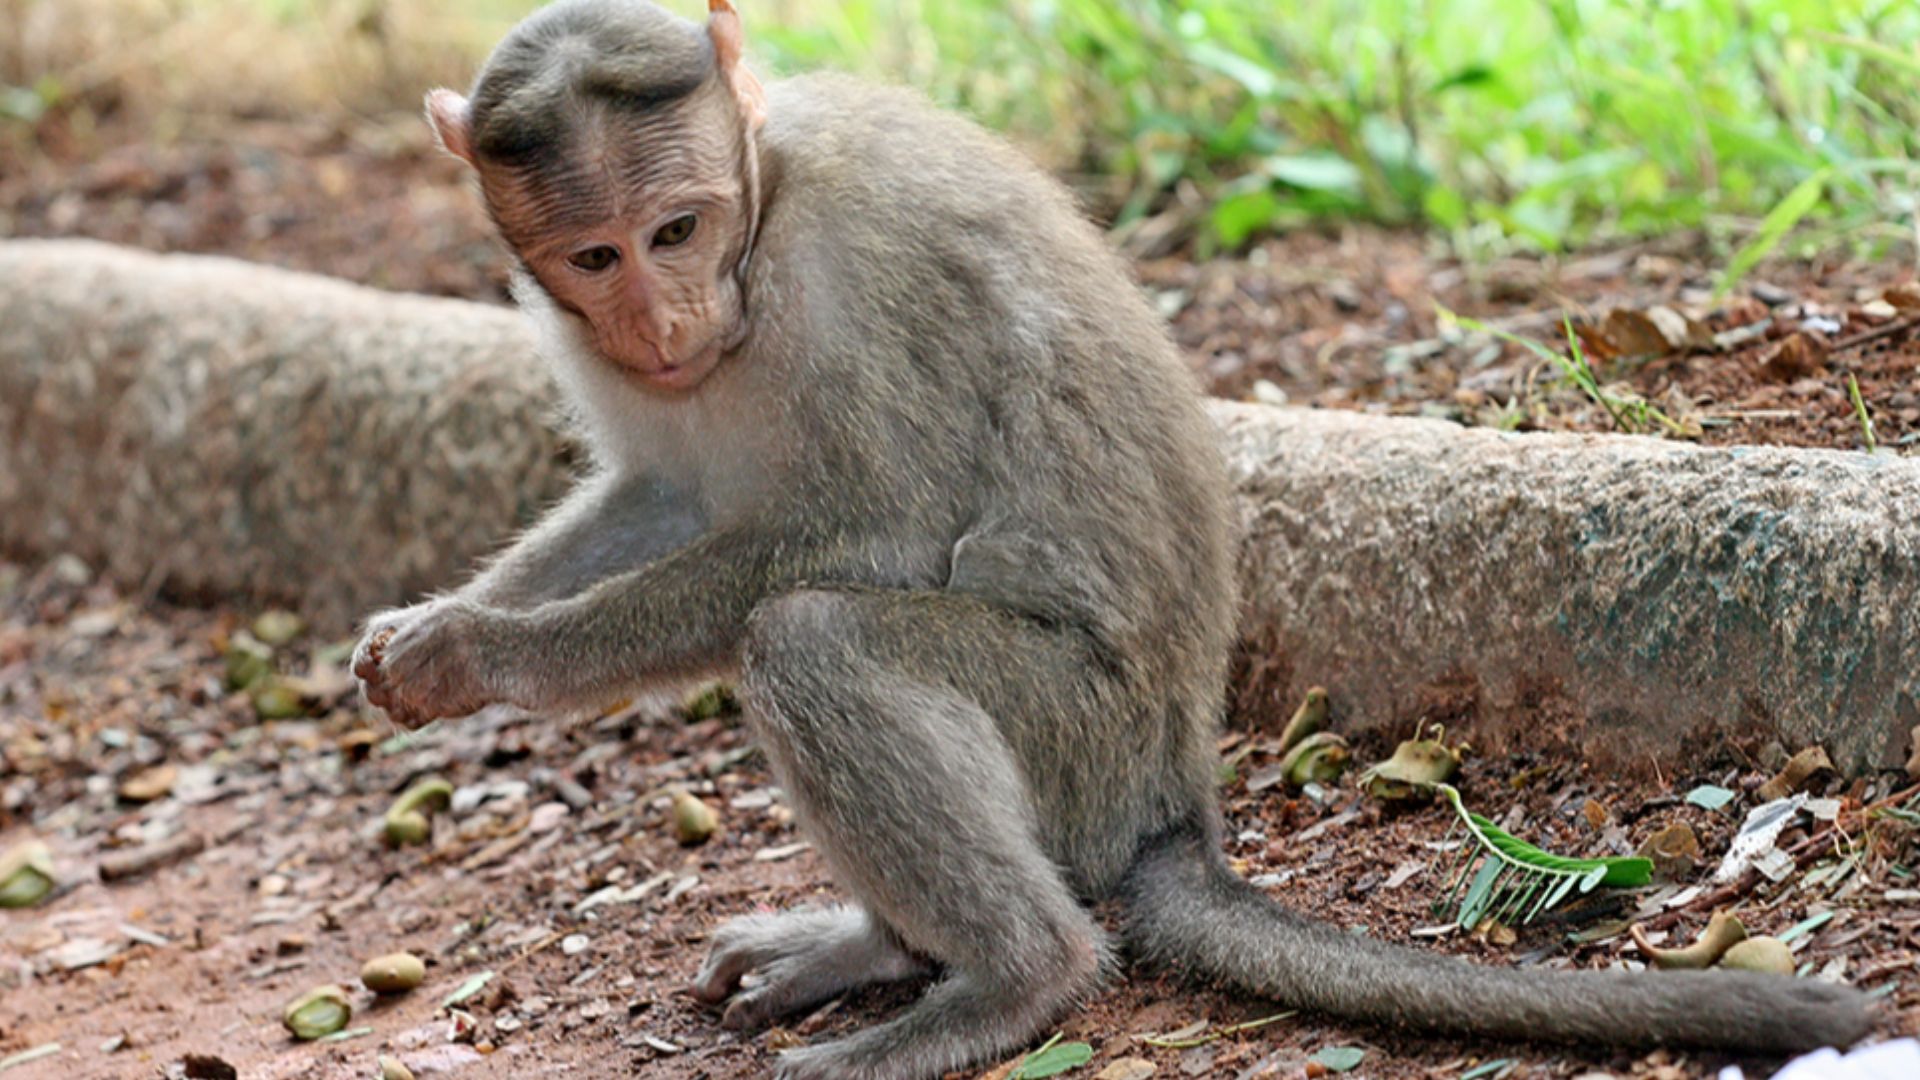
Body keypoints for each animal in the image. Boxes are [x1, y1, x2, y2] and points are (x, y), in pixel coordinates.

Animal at [350, 2, 1874, 1077]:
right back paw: (877, 949)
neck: (763, 193)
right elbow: (661, 495)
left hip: (1074, 736)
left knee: (820, 638)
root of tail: (1173, 799)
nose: (664, 321)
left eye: (678, 227)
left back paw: (1011, 979)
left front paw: (490, 655)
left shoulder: (850, 266)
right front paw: (430, 631)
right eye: (596, 258)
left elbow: (875, 535)